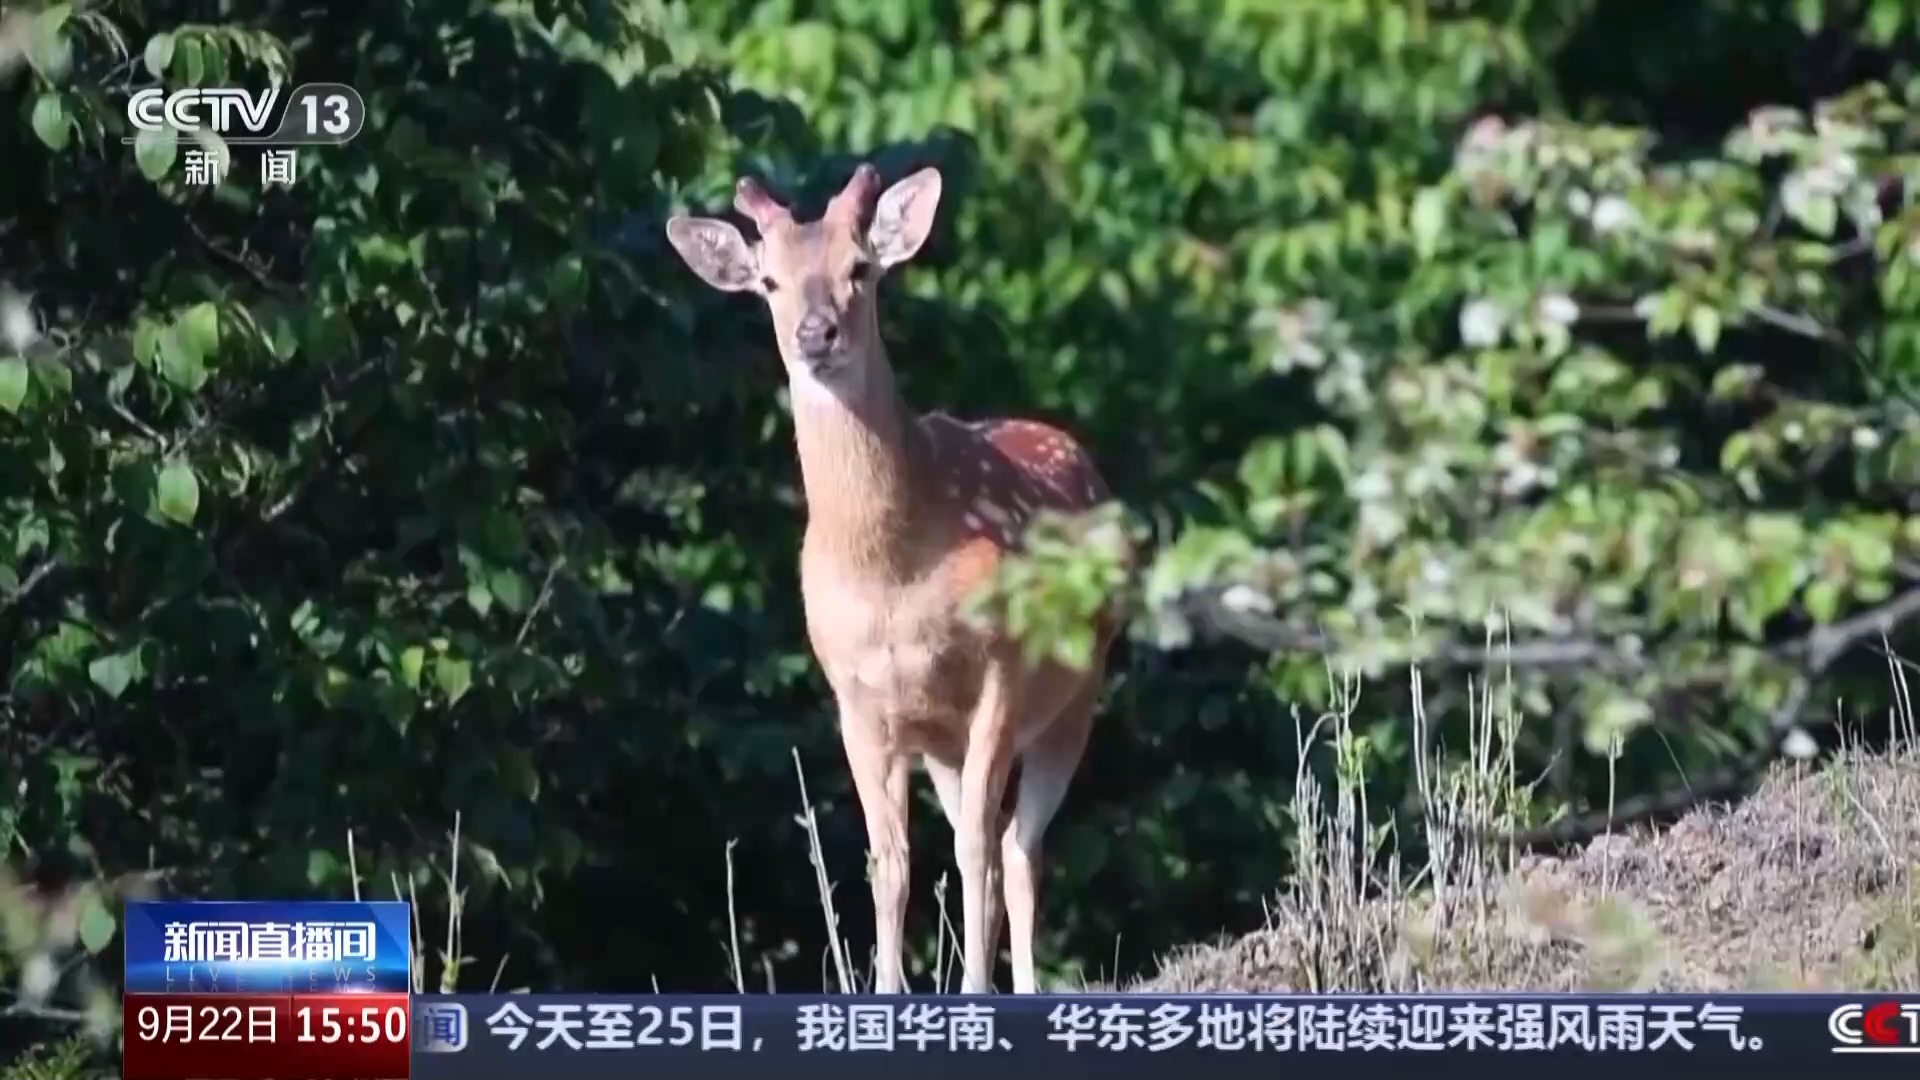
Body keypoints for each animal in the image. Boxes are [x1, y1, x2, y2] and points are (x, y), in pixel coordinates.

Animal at [664, 163, 1124, 994]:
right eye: (770, 281)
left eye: (861, 269)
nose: (816, 334)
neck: (890, 577)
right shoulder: (856, 698)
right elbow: (890, 862)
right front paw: (886, 989)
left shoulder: (999, 671)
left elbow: (973, 846)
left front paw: (971, 991)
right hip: (941, 740)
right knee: (997, 840)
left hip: (1076, 694)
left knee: (1016, 846)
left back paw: (1024, 984)